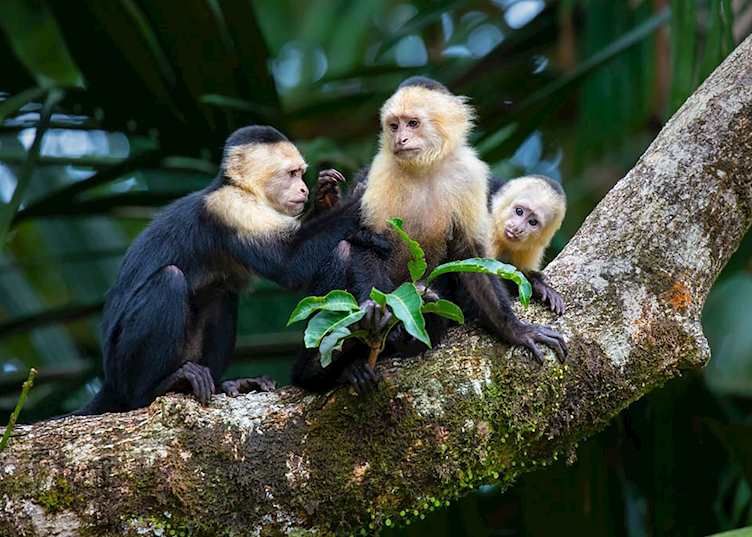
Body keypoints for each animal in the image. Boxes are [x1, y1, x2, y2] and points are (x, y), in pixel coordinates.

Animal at [75, 125, 365, 415]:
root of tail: (110, 381)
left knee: (221, 294)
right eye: (292, 173)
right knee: (169, 279)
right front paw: (360, 196)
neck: (243, 190)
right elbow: (289, 265)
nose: (304, 189)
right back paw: (156, 389)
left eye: (301, 174)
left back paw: (223, 384)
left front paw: (326, 196)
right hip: (122, 364)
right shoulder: (232, 207)